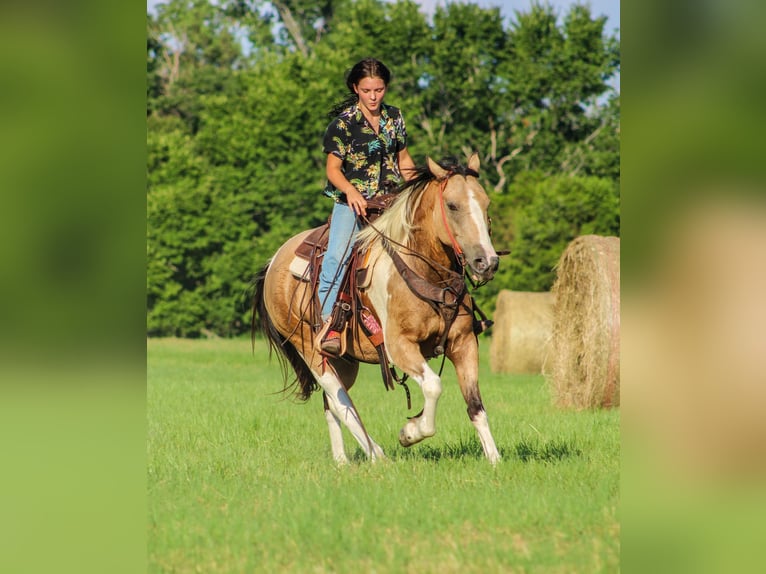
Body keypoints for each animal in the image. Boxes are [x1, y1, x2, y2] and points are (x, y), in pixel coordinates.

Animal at [254, 155, 504, 466]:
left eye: (486, 203)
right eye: (452, 205)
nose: (487, 262)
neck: (424, 272)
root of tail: (274, 260)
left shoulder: (464, 343)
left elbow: (475, 404)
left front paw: (494, 459)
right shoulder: (400, 346)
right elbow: (433, 386)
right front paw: (410, 432)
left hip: (343, 360)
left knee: (332, 403)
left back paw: (342, 461)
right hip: (309, 349)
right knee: (340, 400)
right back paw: (376, 453)